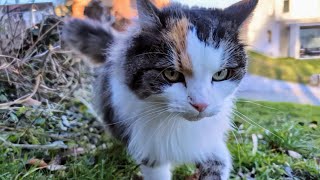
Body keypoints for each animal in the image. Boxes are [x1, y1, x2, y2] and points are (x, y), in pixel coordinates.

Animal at [62, 0, 258, 179]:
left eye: (220, 74)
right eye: (171, 74)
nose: (201, 105)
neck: (179, 125)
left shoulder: (209, 143)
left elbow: (218, 163)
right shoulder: (150, 148)